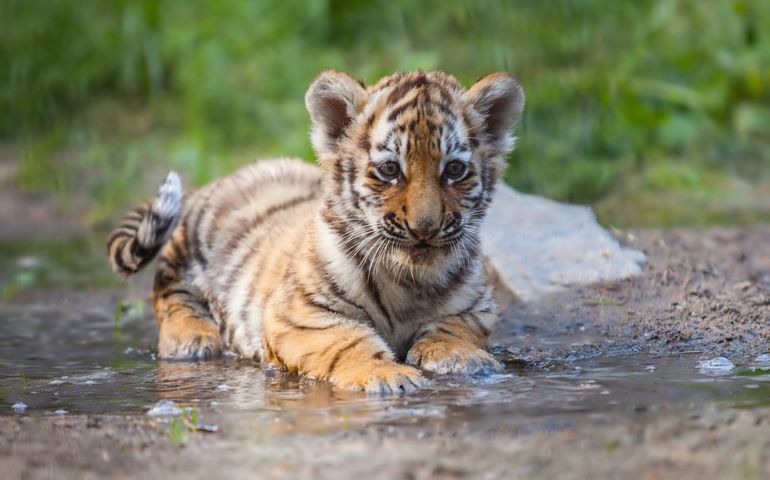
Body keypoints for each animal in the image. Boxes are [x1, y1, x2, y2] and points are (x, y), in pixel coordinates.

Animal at [107, 70, 524, 393]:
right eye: (390, 170)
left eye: (454, 170)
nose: (425, 228)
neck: (409, 278)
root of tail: (223, 178)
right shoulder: (301, 314)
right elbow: (347, 343)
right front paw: (387, 375)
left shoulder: (476, 307)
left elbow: (452, 328)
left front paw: (464, 359)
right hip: (189, 247)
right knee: (168, 290)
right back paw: (190, 339)